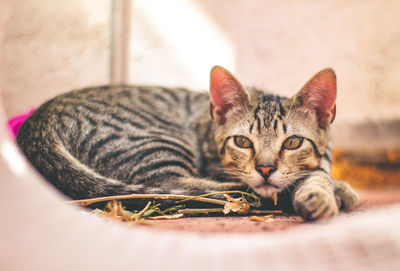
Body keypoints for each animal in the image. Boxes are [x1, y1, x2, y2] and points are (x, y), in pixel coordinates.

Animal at [17, 66, 358, 221]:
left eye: (293, 142)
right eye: (242, 142)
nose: (264, 169)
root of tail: (38, 120)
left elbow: (318, 173)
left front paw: (326, 191)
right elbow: (308, 177)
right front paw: (327, 192)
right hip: (160, 140)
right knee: (177, 187)